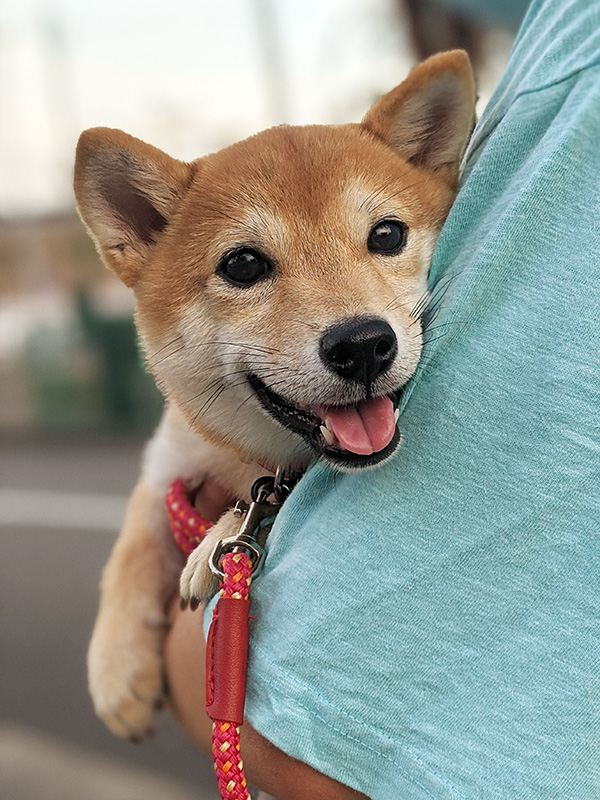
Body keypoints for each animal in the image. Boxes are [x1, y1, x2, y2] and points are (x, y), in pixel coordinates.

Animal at [75, 48, 476, 736]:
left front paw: (215, 539)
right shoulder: (170, 458)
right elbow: (129, 542)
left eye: (387, 235)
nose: (363, 343)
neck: (256, 462)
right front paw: (114, 666)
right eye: (242, 265)